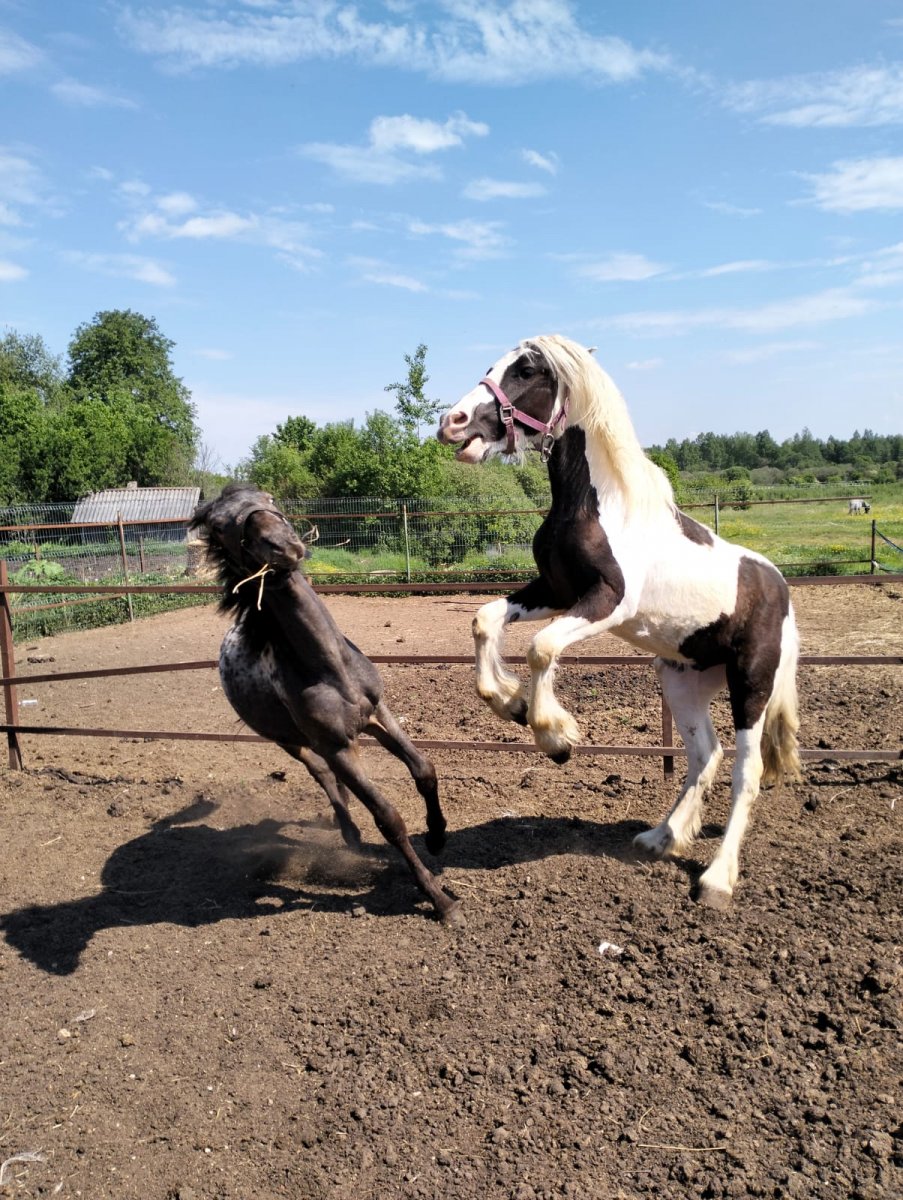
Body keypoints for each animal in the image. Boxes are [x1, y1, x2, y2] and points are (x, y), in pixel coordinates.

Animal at [190, 483, 462, 927]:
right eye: (216, 524)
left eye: (267, 497)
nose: (281, 545)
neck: (328, 666)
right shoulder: (338, 746)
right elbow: (388, 818)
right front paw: (441, 900)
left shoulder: (377, 714)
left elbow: (424, 769)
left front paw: (438, 836)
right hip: (289, 741)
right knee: (319, 772)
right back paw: (349, 831)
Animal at [437, 334, 801, 909]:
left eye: (528, 370)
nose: (452, 423)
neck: (601, 505)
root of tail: (780, 590)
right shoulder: (557, 592)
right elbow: (485, 620)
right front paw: (510, 703)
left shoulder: (607, 601)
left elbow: (541, 647)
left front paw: (556, 736)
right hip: (682, 680)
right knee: (705, 755)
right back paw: (661, 837)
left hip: (751, 685)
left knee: (748, 771)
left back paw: (717, 880)